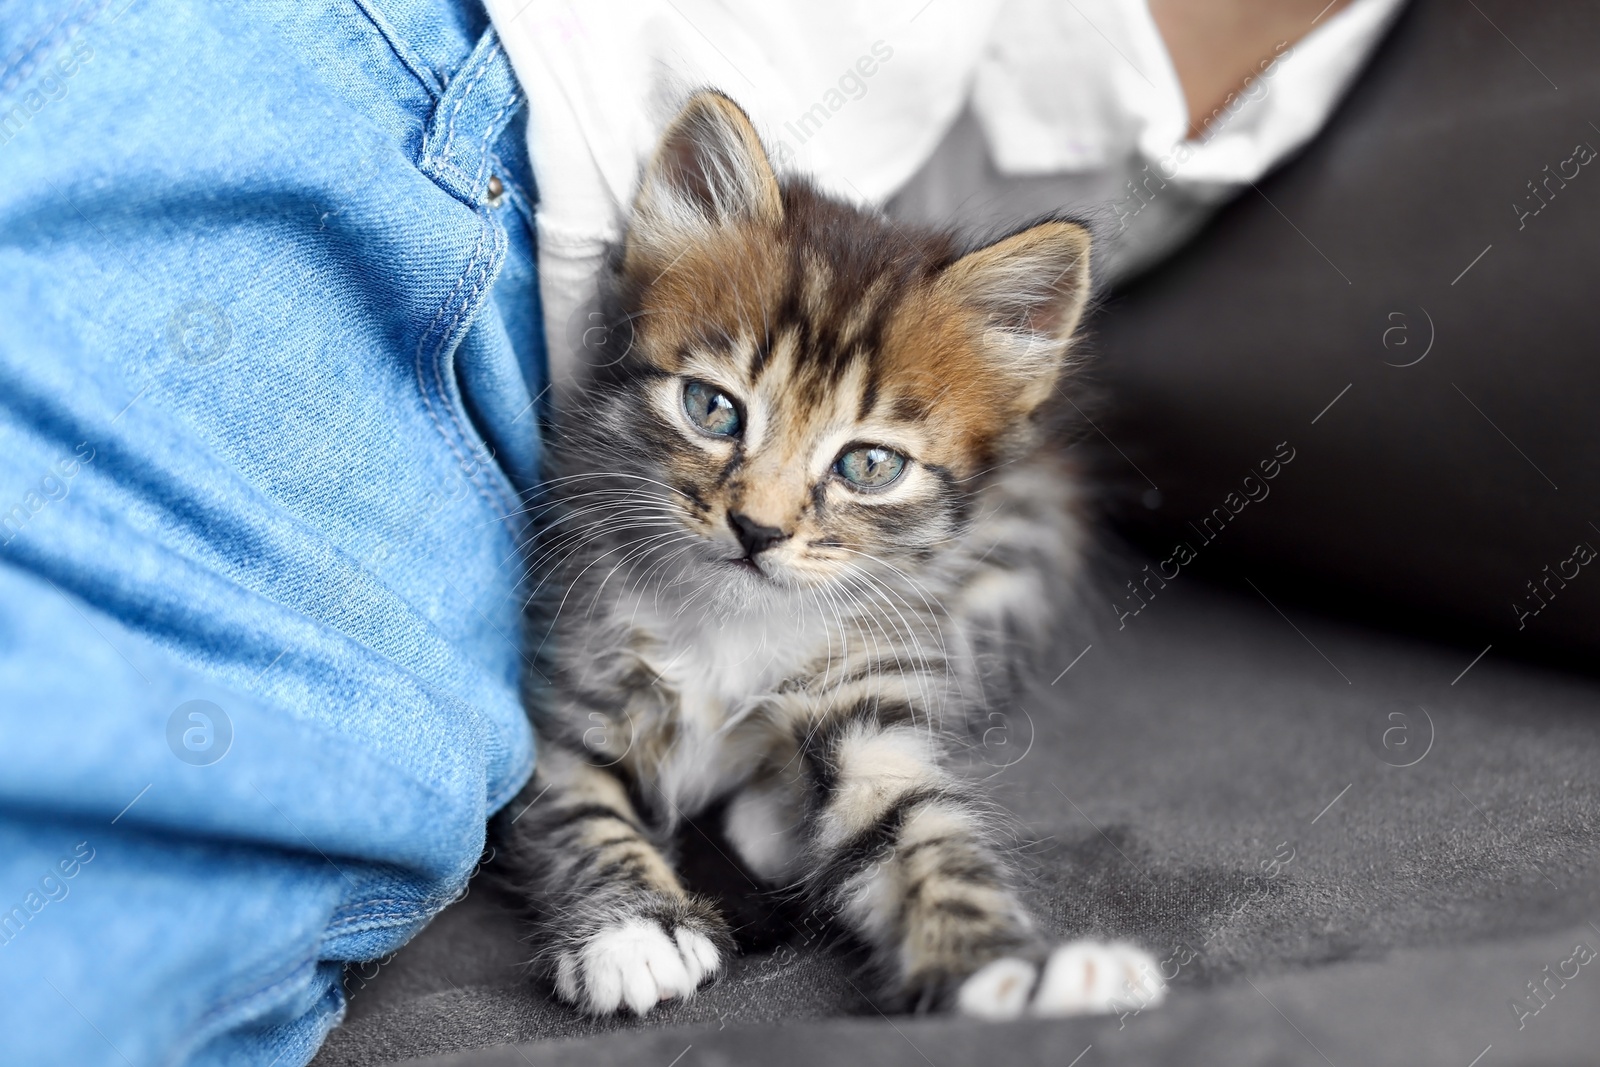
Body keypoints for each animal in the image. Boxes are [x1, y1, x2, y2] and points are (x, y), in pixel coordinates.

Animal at [499, 95, 1164, 1023]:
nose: (756, 529)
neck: (732, 625)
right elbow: (578, 813)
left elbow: (917, 825)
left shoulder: (865, 685)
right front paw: (632, 927)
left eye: (868, 464)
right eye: (712, 408)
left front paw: (1011, 971)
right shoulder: (569, 691)